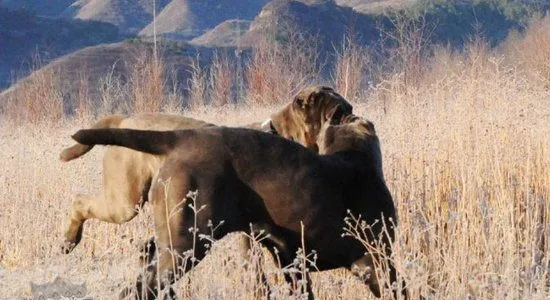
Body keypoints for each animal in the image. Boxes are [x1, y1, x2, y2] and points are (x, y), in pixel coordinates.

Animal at [61, 85, 354, 252]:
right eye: (337, 113)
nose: (353, 115)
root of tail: (124, 120)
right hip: (125, 201)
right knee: (79, 202)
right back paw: (69, 241)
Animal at [73, 109, 408, 300]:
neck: (353, 158)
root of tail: (182, 138)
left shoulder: (291, 260)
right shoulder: (375, 258)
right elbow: (399, 288)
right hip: (185, 243)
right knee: (141, 287)